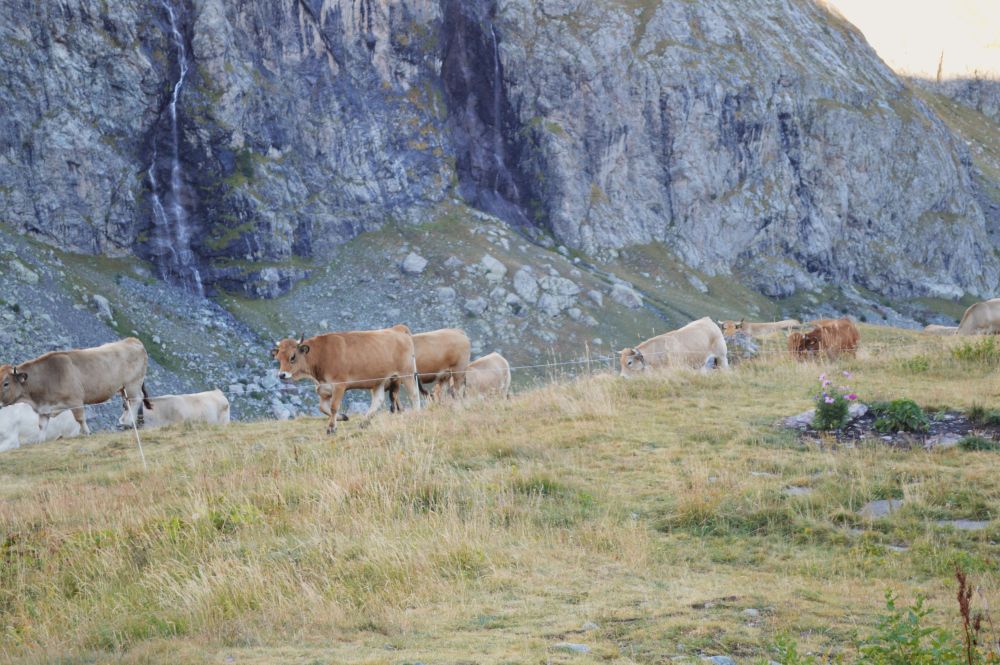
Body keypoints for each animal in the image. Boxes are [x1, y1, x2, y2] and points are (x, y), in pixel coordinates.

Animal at [1, 338, 152, 435]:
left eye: (6, 383)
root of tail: (132, 340)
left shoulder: (75, 400)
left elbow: (80, 418)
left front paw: (86, 433)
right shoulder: (44, 410)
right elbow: (42, 427)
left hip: (133, 383)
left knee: (136, 399)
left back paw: (127, 422)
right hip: (123, 387)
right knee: (128, 402)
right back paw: (124, 420)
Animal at [272, 325, 420, 434]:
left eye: (292, 357)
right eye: (278, 358)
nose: (281, 375)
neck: (321, 354)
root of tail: (397, 328)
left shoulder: (339, 385)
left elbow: (333, 407)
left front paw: (331, 428)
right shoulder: (323, 389)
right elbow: (323, 408)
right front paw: (342, 417)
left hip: (406, 373)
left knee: (413, 394)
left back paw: (416, 414)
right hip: (380, 380)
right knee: (378, 400)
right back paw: (364, 422)